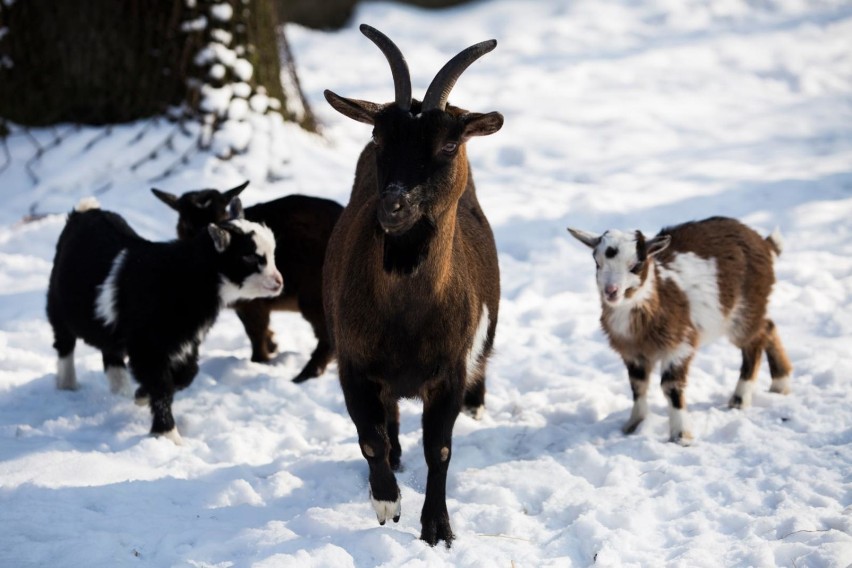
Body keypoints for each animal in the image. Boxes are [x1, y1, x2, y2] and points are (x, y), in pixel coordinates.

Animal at [322, 25, 502, 544]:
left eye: (448, 145)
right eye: (379, 135)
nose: (394, 206)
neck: (406, 315)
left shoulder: (449, 372)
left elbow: (439, 450)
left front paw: (437, 527)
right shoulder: (354, 363)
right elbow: (370, 439)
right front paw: (387, 502)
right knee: (388, 421)